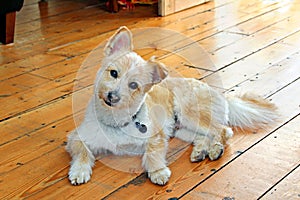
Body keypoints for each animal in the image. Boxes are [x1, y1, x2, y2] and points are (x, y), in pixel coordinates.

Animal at [67, 25, 278, 185]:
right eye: (113, 73)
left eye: (133, 85)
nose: (112, 96)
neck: (117, 122)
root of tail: (220, 95)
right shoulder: (76, 137)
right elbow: (82, 152)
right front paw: (79, 170)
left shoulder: (157, 136)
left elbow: (152, 154)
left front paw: (158, 171)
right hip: (183, 129)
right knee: (204, 136)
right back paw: (200, 151)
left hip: (189, 114)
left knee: (223, 131)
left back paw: (215, 149)